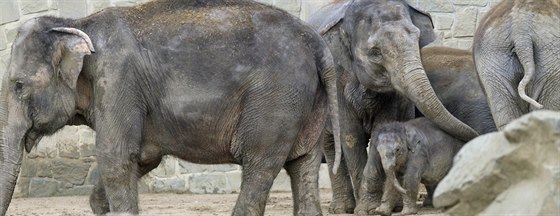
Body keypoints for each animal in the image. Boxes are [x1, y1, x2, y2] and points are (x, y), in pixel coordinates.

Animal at [0, 0, 342, 215]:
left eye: (18, 85)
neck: (75, 24)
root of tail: (316, 41)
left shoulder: (118, 79)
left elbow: (115, 158)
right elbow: (141, 159)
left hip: (275, 100)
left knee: (260, 165)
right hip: (311, 104)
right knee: (304, 165)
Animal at [306, 0, 476, 213]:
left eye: (417, 39)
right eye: (375, 52)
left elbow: (382, 126)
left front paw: (379, 207)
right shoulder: (336, 76)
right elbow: (351, 136)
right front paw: (366, 209)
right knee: (331, 146)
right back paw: (342, 209)